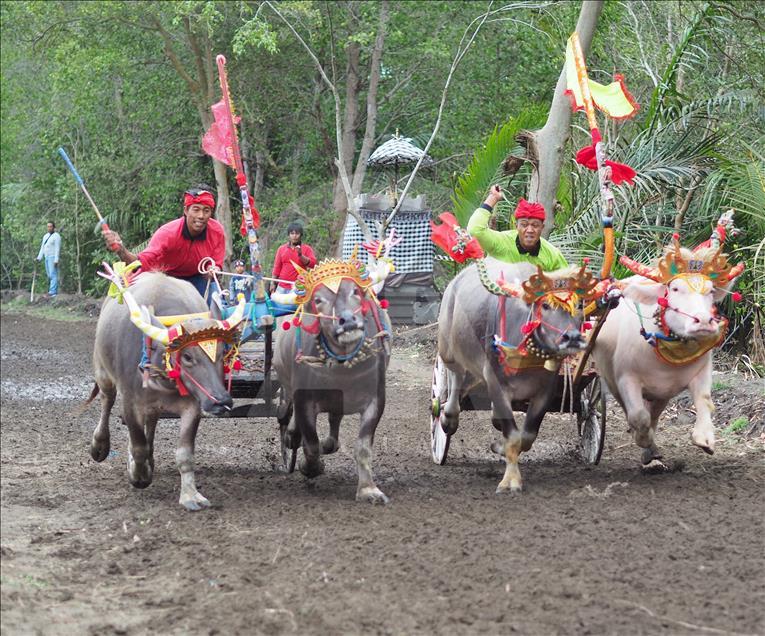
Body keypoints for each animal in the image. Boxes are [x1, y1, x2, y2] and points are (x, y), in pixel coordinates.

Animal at [89, 270, 245, 510]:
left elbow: (184, 454)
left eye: (223, 351)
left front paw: (190, 495)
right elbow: (138, 446)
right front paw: (139, 475)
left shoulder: (192, 406)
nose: (221, 401)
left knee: (151, 423)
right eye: (187, 356)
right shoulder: (130, 403)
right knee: (107, 400)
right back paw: (99, 445)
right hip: (102, 371)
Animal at [274, 258, 390, 502]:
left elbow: (363, 447)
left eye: (355, 291)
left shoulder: (376, 400)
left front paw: (368, 489)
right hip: (288, 386)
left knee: (334, 421)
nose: (347, 321)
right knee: (291, 419)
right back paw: (292, 436)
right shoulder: (304, 401)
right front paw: (310, 467)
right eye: (318, 300)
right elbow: (311, 444)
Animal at [436, 258, 604, 492]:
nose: (571, 337)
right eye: (545, 305)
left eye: (579, 304)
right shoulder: (495, 383)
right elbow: (514, 436)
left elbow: (527, 437)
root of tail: (455, 281)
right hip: (448, 351)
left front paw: (499, 446)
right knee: (454, 380)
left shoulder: (546, 390)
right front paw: (511, 481)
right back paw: (447, 419)